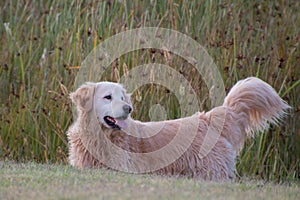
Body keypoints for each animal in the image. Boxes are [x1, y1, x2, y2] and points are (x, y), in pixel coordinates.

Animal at [67, 77, 290, 180]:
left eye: (122, 97)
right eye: (107, 97)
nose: (128, 108)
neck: (101, 137)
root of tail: (208, 118)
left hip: (210, 172)